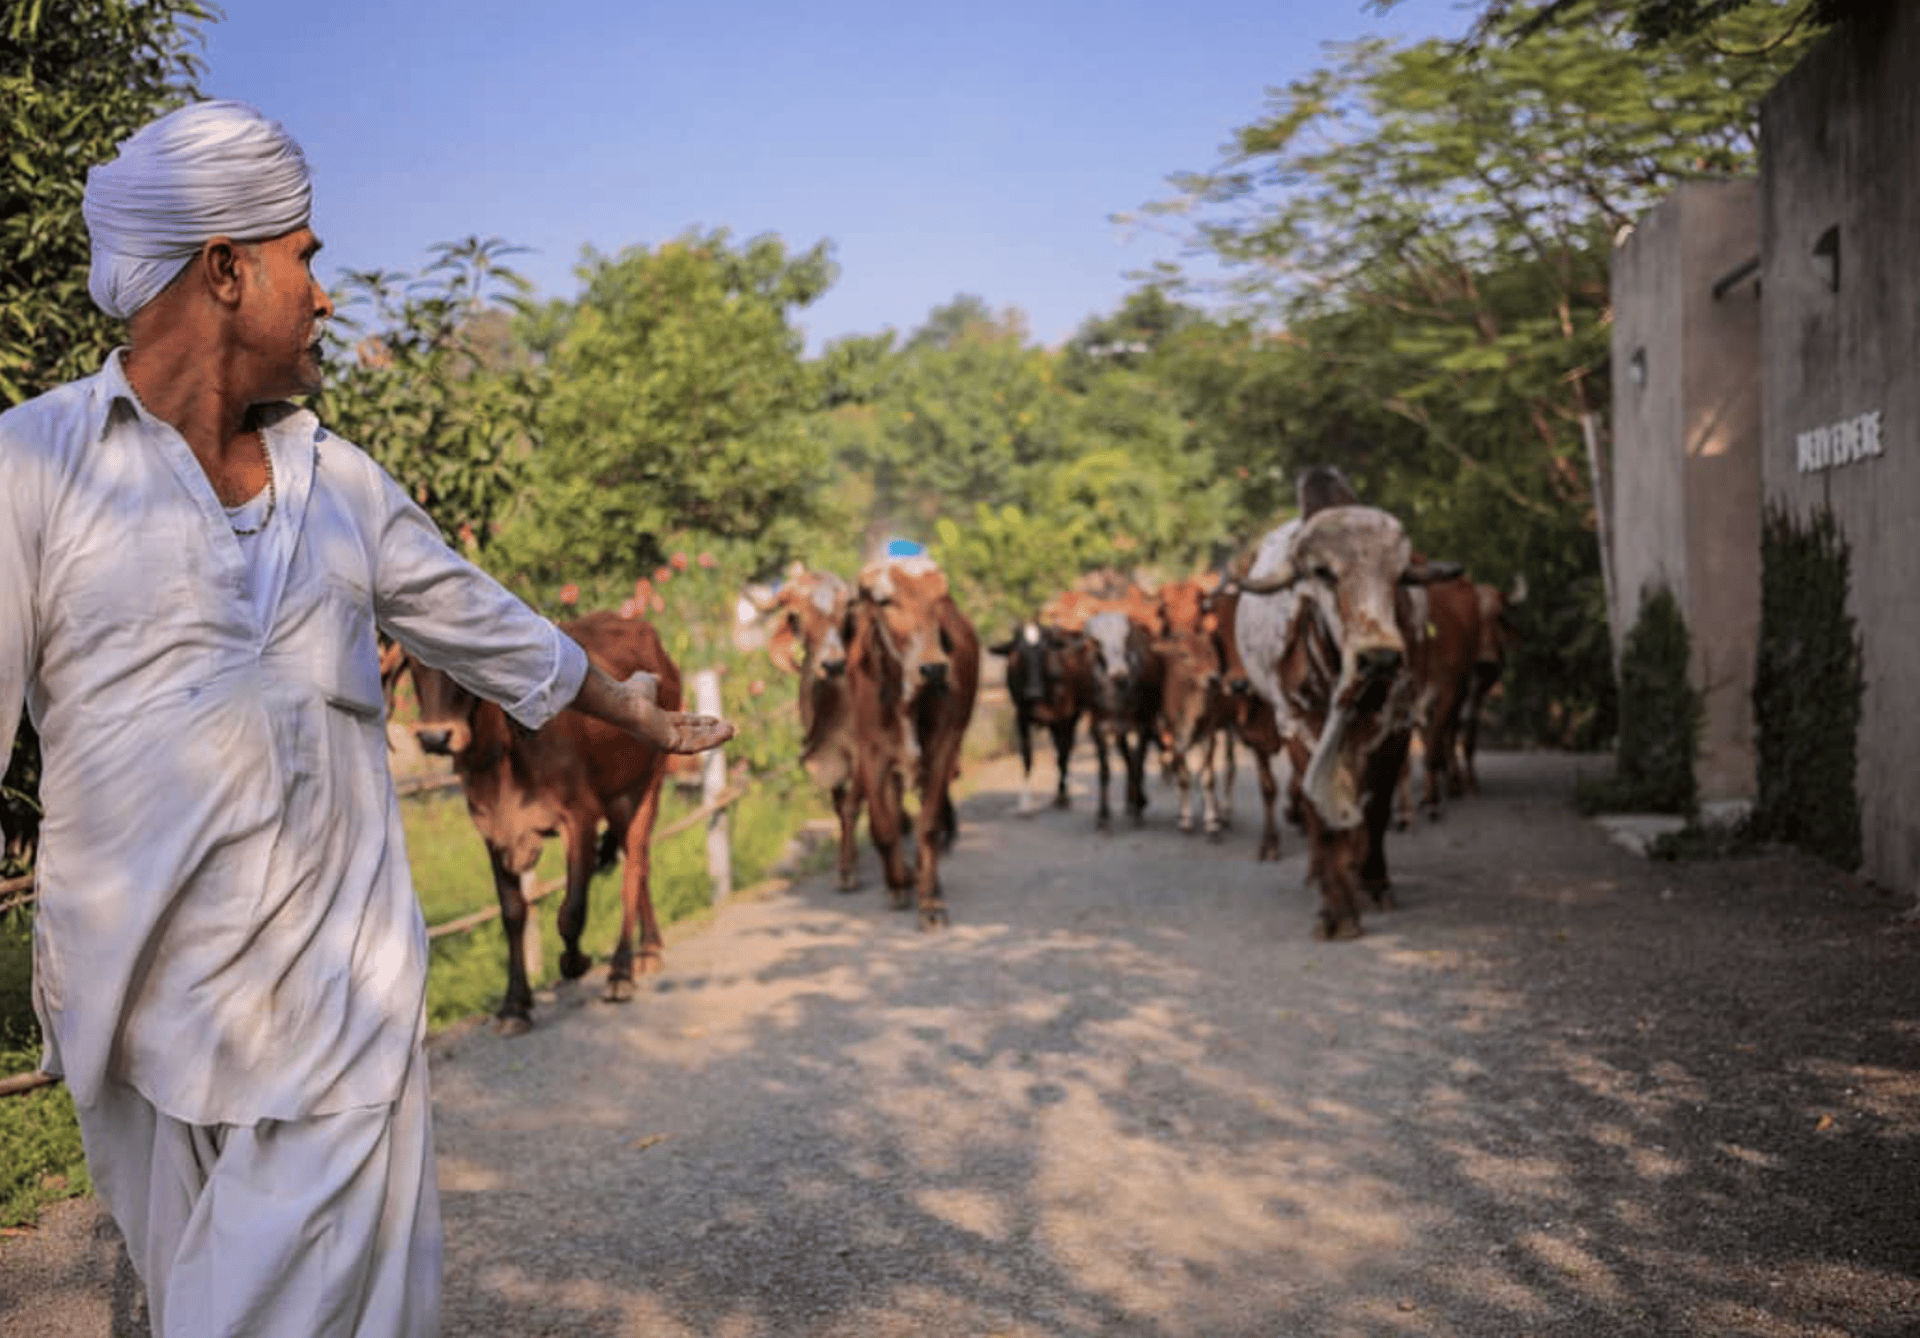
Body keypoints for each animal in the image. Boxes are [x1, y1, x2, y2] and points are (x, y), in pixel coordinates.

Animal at [397, 610, 683, 1028]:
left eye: (460, 661)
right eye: (413, 661)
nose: (435, 737)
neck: (500, 757)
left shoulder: (579, 817)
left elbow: (571, 911)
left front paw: (575, 962)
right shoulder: (492, 832)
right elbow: (513, 912)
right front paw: (515, 1003)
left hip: (644, 787)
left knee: (635, 868)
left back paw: (621, 970)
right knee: (638, 865)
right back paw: (649, 949)